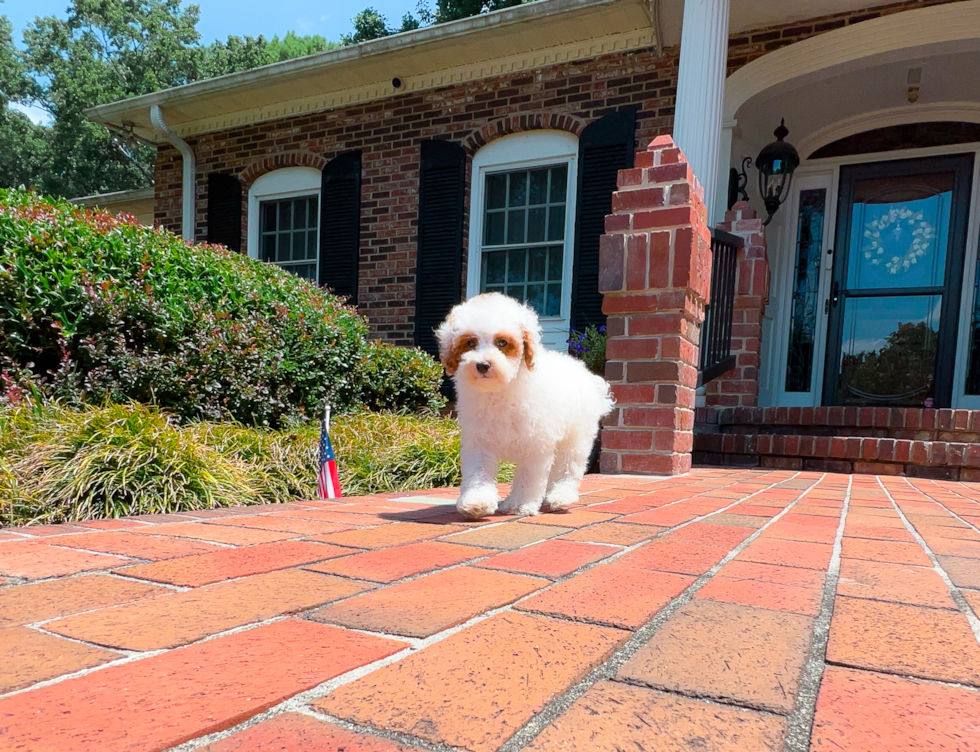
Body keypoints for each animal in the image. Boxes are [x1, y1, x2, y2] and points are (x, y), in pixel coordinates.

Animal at [440, 292, 616, 516]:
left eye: (502, 343)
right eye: (470, 343)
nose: (482, 365)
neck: (501, 391)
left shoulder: (536, 444)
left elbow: (528, 477)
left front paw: (520, 504)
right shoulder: (478, 440)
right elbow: (477, 472)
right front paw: (477, 501)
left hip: (576, 436)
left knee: (568, 466)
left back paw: (561, 496)